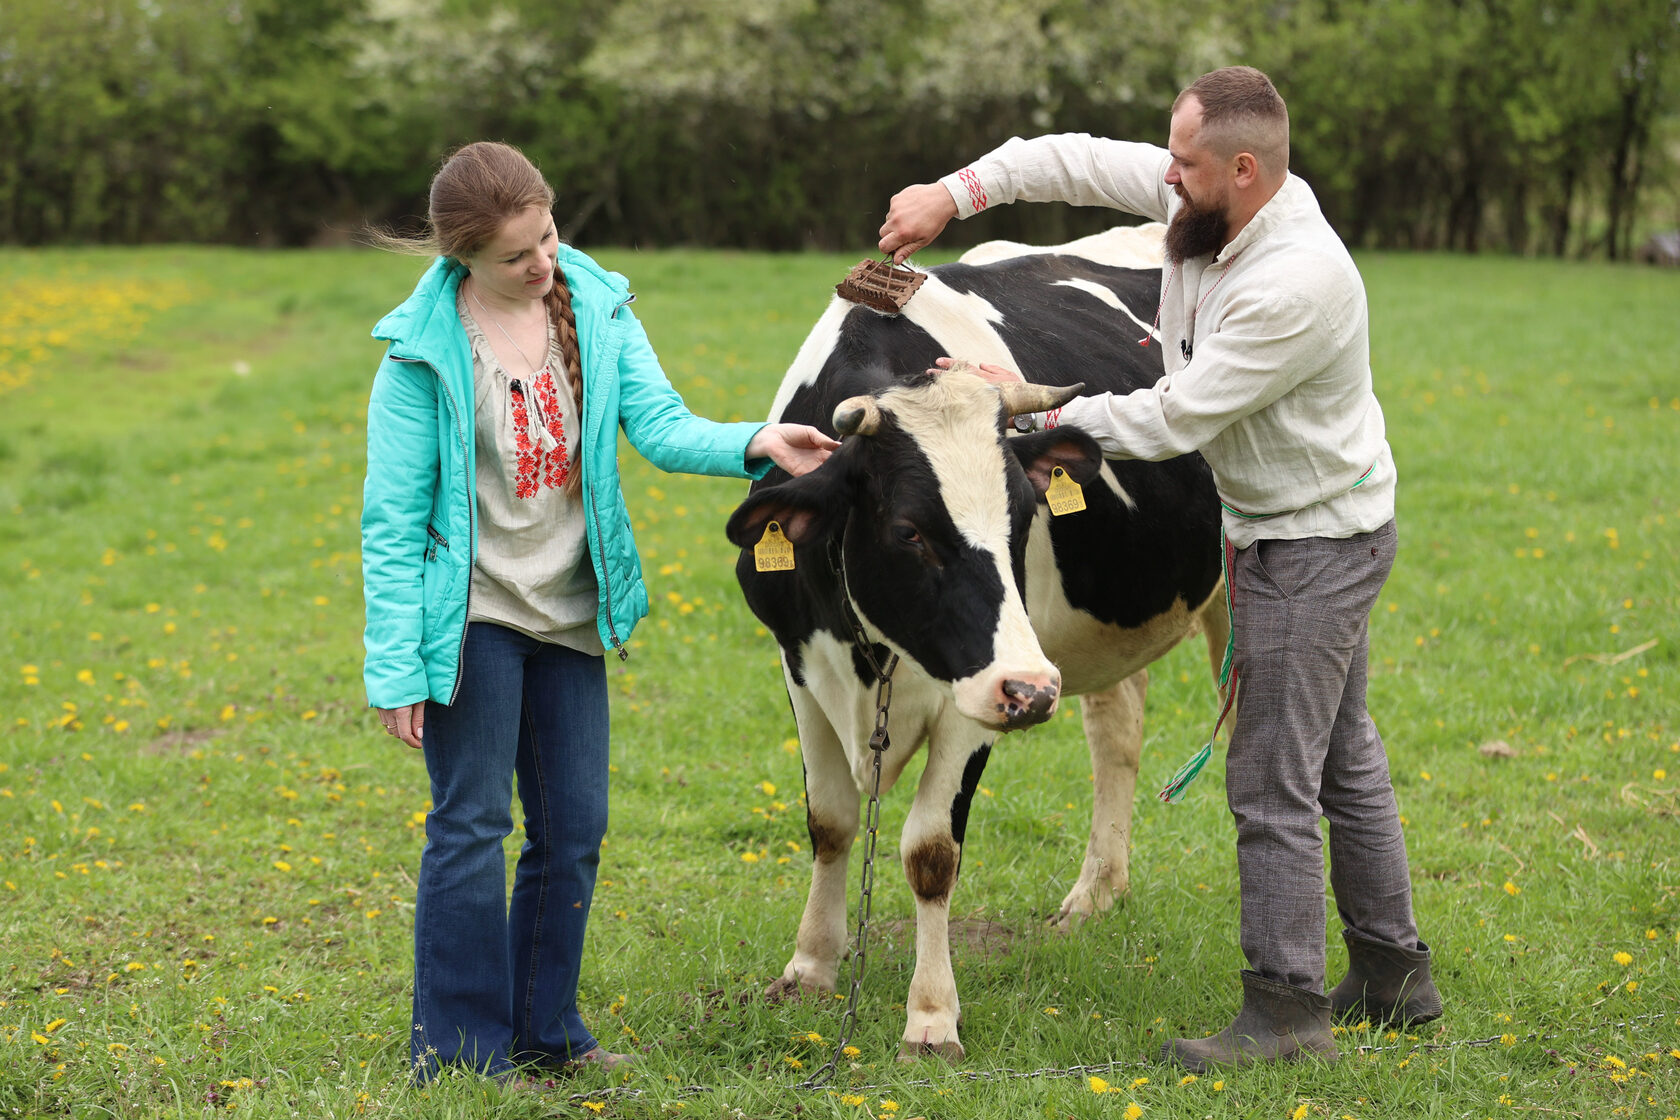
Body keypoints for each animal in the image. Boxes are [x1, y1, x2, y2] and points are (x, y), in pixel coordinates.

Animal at [729, 225, 1229, 1061]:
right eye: (909, 532)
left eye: (1027, 514)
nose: (1036, 691)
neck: (877, 654)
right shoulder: (800, 665)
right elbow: (830, 822)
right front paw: (810, 967)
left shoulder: (981, 691)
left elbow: (930, 850)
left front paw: (931, 1015)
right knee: (1117, 736)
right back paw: (1095, 892)